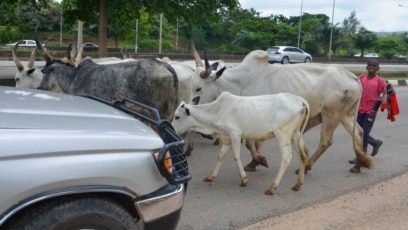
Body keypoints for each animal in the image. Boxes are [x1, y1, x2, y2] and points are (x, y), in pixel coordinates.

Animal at [171, 91, 310, 196]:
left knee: (287, 158)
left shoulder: (235, 135)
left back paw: (272, 188)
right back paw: (298, 184)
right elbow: (221, 156)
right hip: (295, 134)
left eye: (177, 116)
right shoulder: (226, 138)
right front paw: (211, 176)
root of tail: (299, 100)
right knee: (303, 154)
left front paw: (244, 180)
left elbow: (236, 156)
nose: (172, 130)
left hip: (283, 135)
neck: (217, 111)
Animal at [190, 49, 372, 174]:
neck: (241, 82)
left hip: (331, 114)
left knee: (326, 141)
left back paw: (306, 166)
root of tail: (351, 76)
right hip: (346, 115)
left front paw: (259, 160)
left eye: (198, 88)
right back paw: (359, 164)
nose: (190, 109)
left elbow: (251, 143)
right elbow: (253, 143)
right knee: (359, 133)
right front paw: (254, 162)